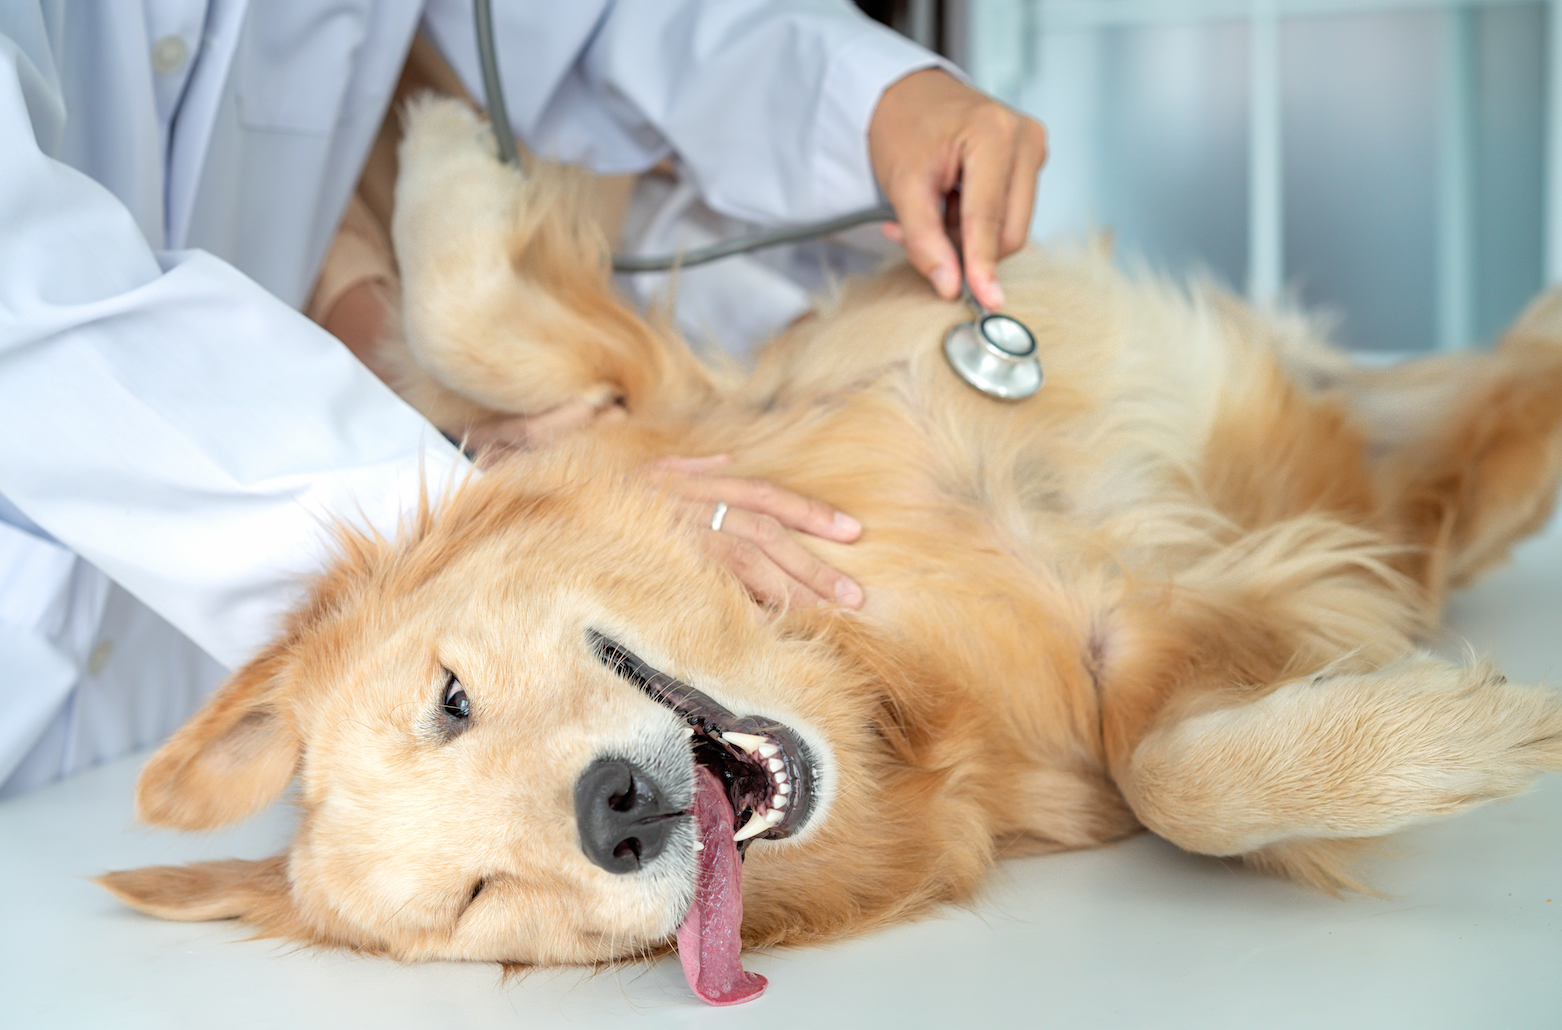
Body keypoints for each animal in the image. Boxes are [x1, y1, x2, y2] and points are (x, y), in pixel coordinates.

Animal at [94, 98, 1562, 1006]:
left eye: (450, 698)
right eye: (475, 895)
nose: (616, 813)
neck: (864, 656)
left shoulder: (653, 397)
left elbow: (471, 319)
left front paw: (443, 139)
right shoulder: (1131, 686)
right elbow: (1176, 783)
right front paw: (1460, 738)